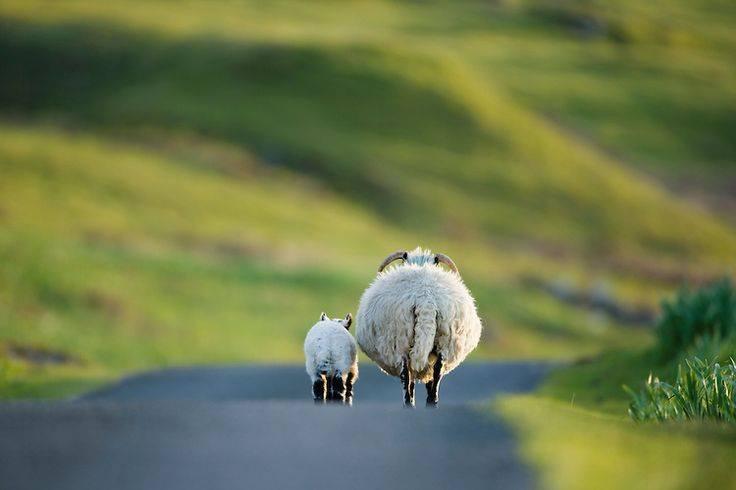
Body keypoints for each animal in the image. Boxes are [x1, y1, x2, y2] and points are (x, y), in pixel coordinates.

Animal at [356, 249, 484, 406]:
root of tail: (426, 300)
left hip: (400, 343)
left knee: (406, 380)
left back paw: (409, 404)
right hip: (444, 344)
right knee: (436, 376)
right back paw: (431, 403)